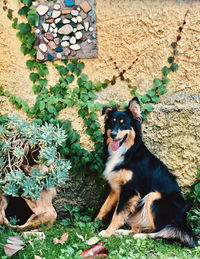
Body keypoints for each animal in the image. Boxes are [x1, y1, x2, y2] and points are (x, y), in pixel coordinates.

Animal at [96, 98, 198, 250]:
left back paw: (140, 236)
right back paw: (123, 232)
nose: (113, 135)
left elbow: (117, 214)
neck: (127, 152)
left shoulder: (130, 191)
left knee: (162, 231)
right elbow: (104, 208)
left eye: (123, 124)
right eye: (112, 123)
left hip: (154, 197)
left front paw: (107, 232)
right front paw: (92, 224)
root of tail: (184, 221)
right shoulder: (116, 189)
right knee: (142, 228)